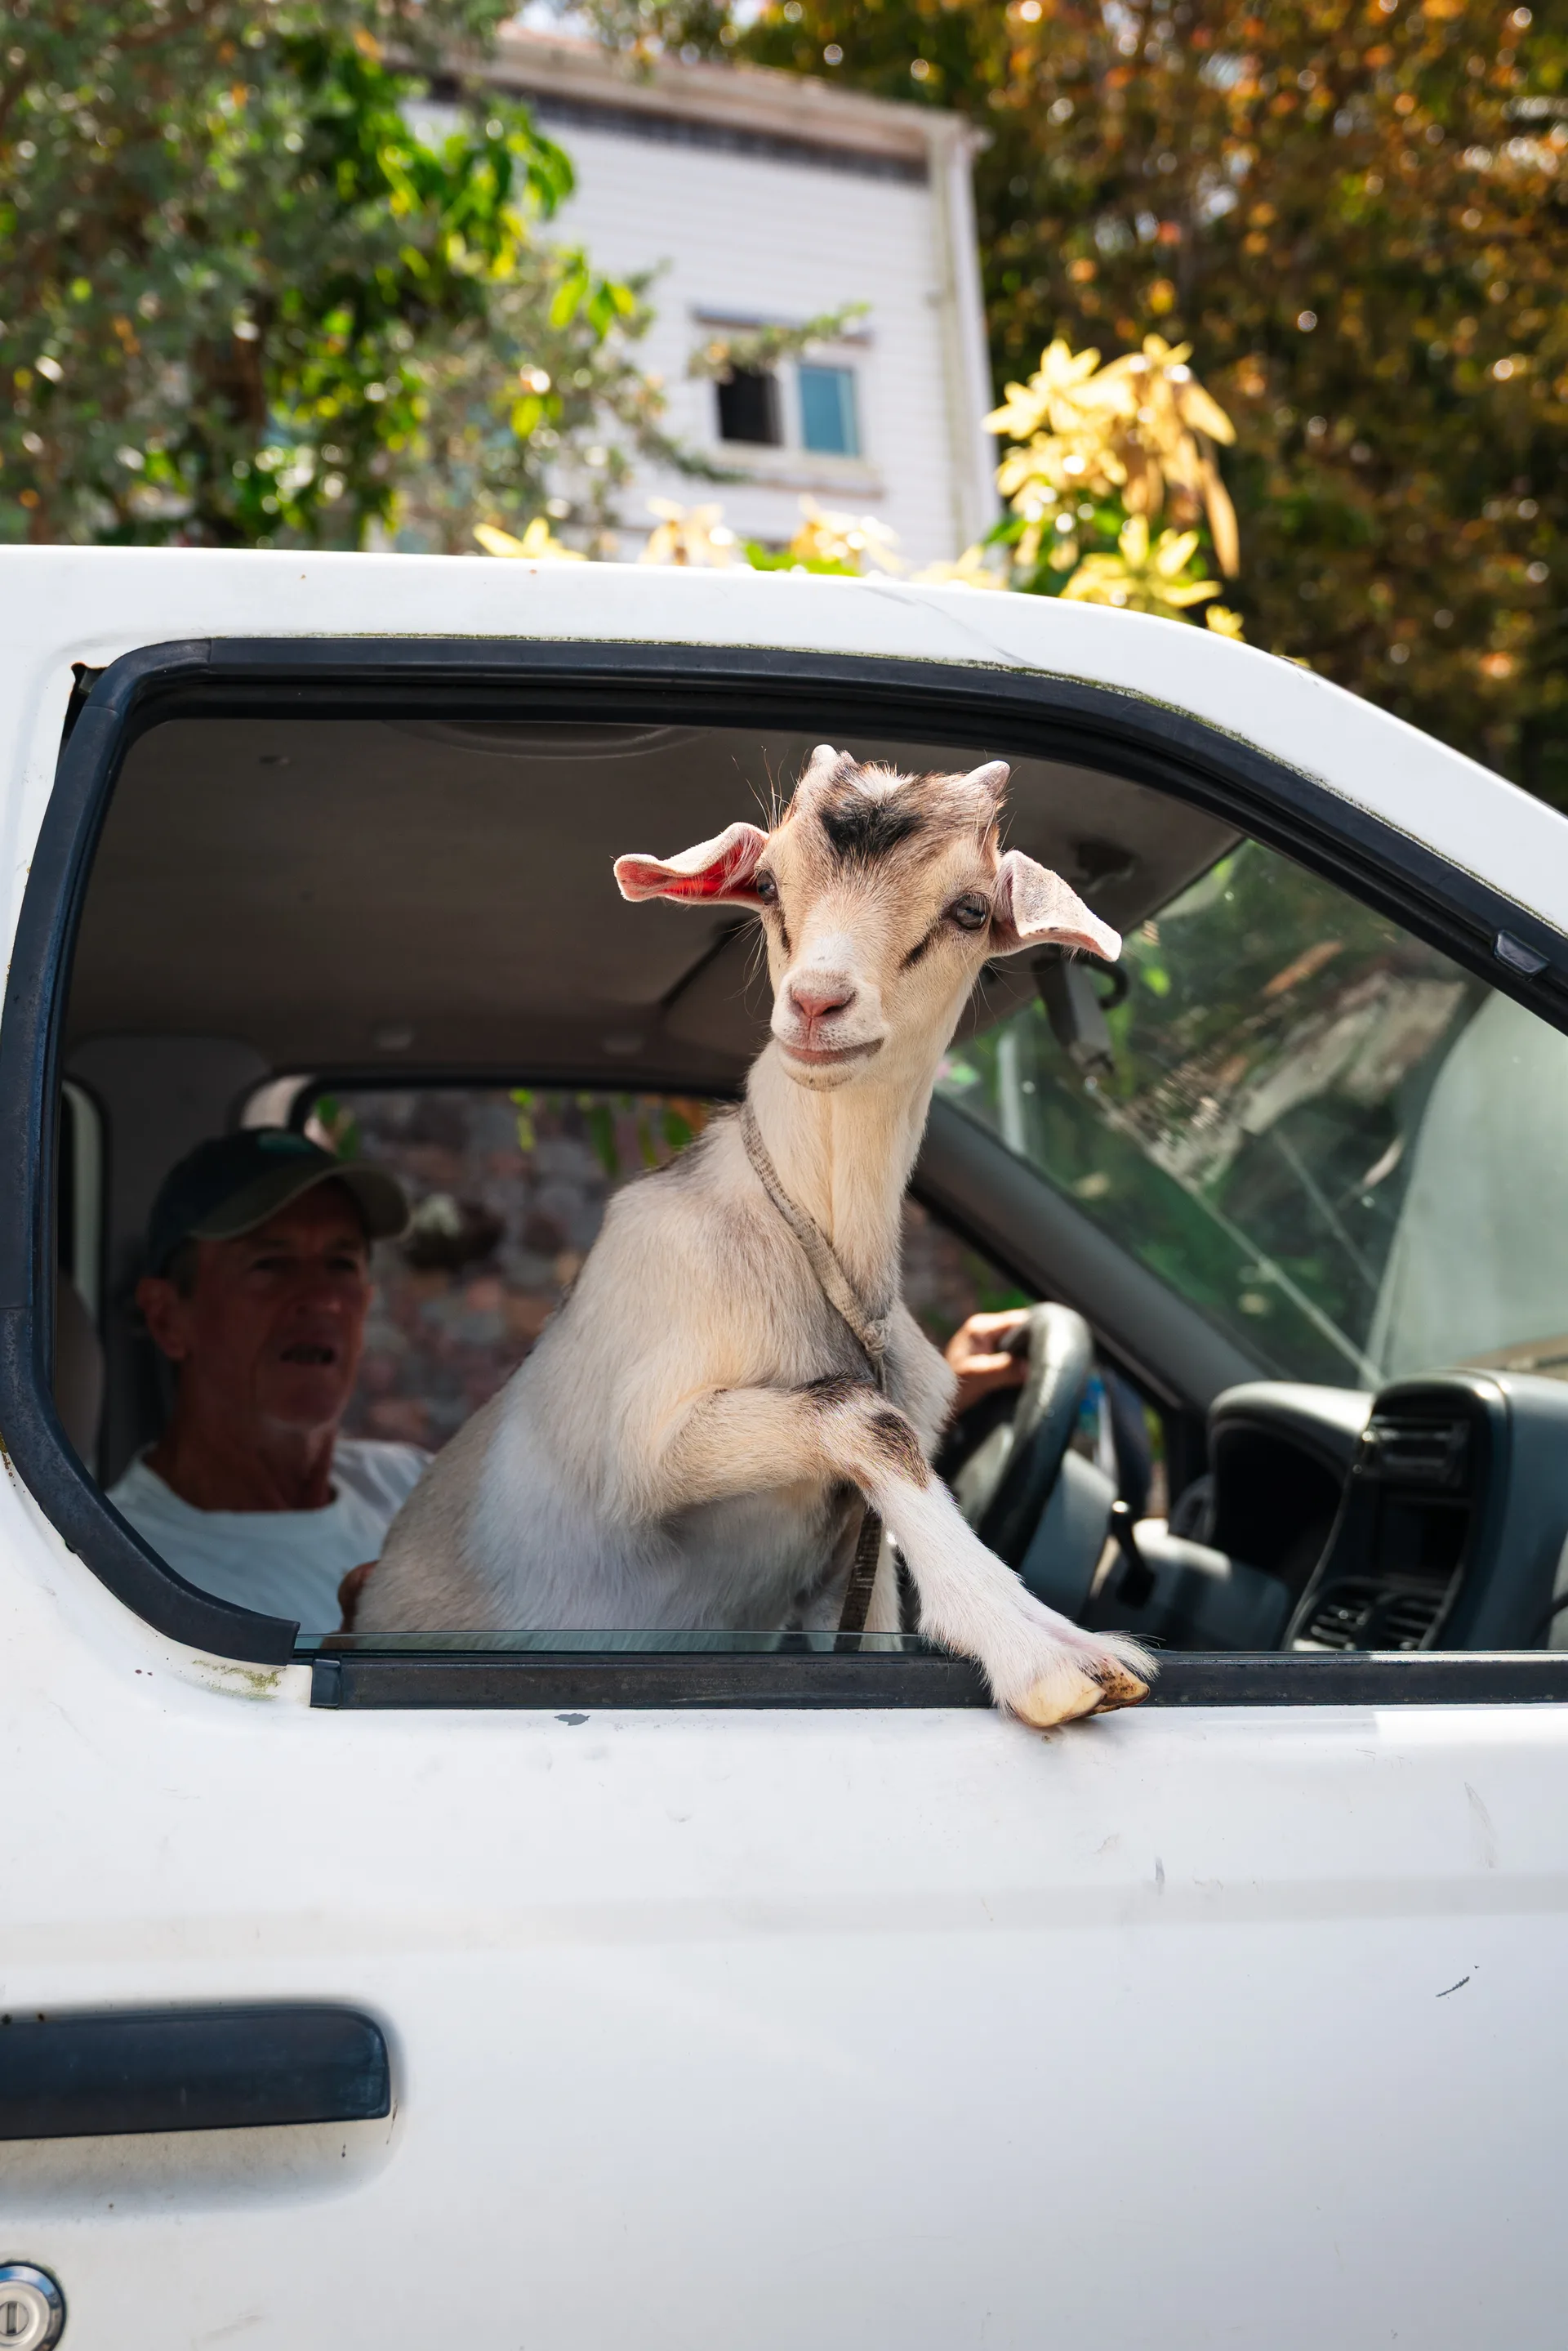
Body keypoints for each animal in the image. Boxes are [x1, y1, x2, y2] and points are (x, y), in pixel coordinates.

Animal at [358, 749, 1153, 1726]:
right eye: (769, 882)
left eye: (969, 910)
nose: (816, 1004)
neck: (814, 1248)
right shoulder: (636, 1448)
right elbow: (863, 1412)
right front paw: (1046, 1653)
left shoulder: (848, 1564)